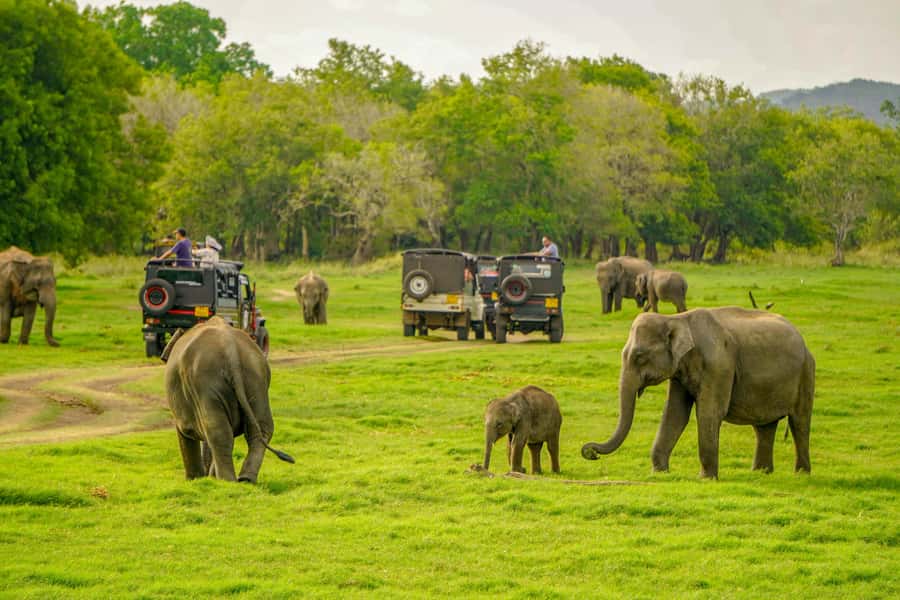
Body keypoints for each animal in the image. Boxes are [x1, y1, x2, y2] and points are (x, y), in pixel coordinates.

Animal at [165, 316, 294, 482]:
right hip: (256, 379)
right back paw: (245, 479)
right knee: (261, 428)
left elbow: (185, 433)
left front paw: (195, 480)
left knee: (217, 431)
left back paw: (227, 480)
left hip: (207, 384)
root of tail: (232, 353)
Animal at [581, 308, 815, 479]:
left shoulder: (719, 366)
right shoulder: (679, 371)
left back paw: (801, 474)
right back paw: (761, 472)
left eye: (639, 356)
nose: (590, 452)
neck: (676, 319)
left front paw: (706, 478)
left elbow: (709, 412)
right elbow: (675, 414)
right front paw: (660, 473)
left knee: (800, 422)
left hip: (806, 372)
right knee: (764, 427)